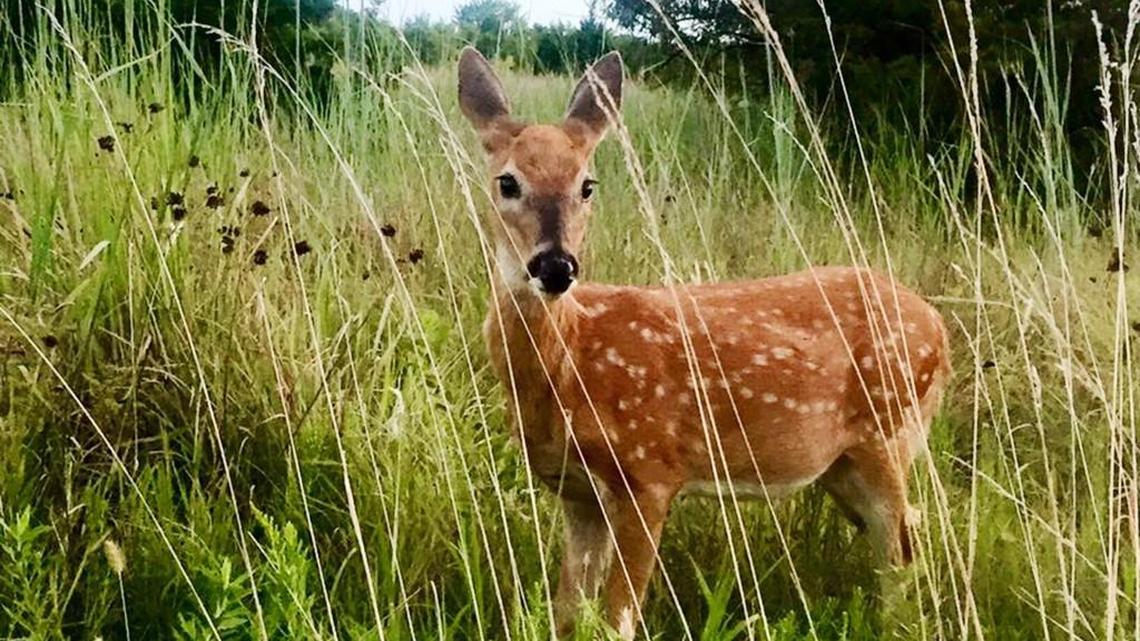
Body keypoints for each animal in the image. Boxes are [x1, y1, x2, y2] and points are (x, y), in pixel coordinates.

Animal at [457, 47, 952, 639]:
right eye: (507, 182)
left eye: (587, 185)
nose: (556, 267)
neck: (571, 366)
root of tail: (940, 327)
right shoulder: (577, 493)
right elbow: (566, 612)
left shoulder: (650, 471)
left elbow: (619, 618)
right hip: (843, 463)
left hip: (888, 431)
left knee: (902, 548)